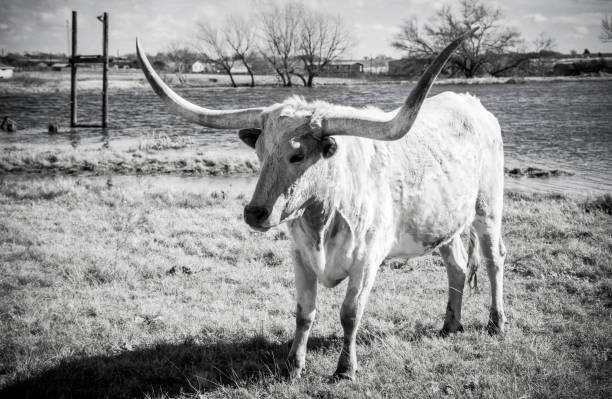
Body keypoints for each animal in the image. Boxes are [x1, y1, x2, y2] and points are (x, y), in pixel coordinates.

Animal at [137, 28, 506, 382]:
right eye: (260, 152)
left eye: (298, 155)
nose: (254, 213)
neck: (324, 214)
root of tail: (473, 105)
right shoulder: (300, 256)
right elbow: (304, 313)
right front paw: (292, 366)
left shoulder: (367, 261)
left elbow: (350, 314)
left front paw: (345, 369)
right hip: (445, 221)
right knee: (457, 265)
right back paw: (450, 325)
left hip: (488, 209)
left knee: (494, 259)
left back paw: (496, 322)